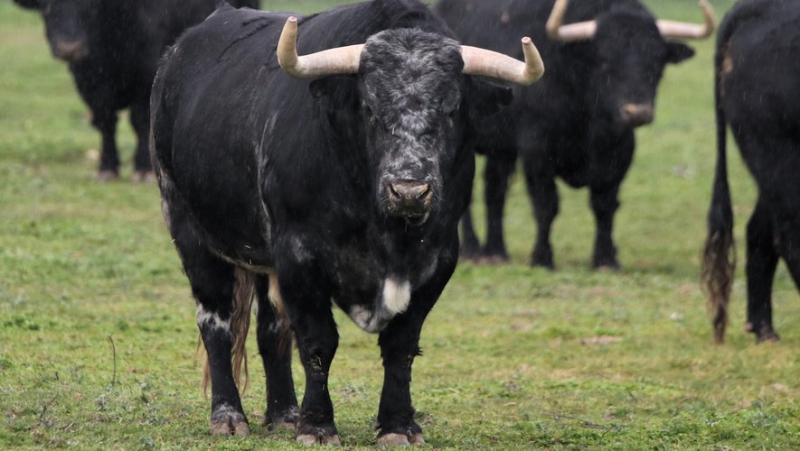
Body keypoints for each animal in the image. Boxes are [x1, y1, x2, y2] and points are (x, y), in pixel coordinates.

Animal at [151, 0, 544, 444]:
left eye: (452, 110)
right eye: (369, 109)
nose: (409, 191)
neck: (388, 235)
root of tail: (177, 52)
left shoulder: (440, 258)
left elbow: (401, 343)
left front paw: (398, 425)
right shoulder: (300, 254)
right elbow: (318, 341)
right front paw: (318, 425)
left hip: (264, 258)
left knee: (272, 329)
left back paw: (284, 413)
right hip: (189, 230)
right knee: (216, 322)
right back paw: (229, 416)